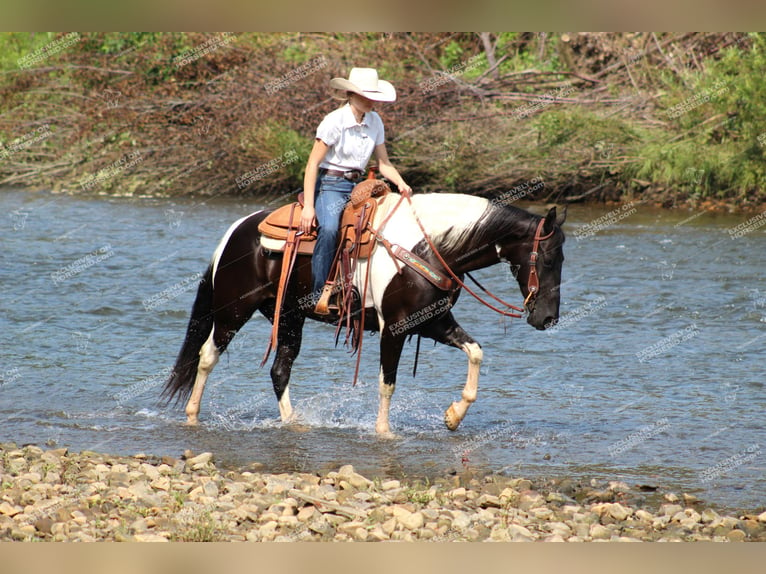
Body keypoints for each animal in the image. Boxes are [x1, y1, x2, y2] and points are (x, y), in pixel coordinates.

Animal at [162, 191, 568, 438]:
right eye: (550, 258)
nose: (547, 318)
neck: (429, 247)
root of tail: (235, 231)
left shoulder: (433, 321)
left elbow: (476, 351)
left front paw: (453, 416)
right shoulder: (396, 328)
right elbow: (387, 382)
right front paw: (384, 432)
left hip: (290, 317)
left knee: (280, 369)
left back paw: (293, 423)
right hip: (233, 310)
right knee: (207, 355)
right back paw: (193, 415)